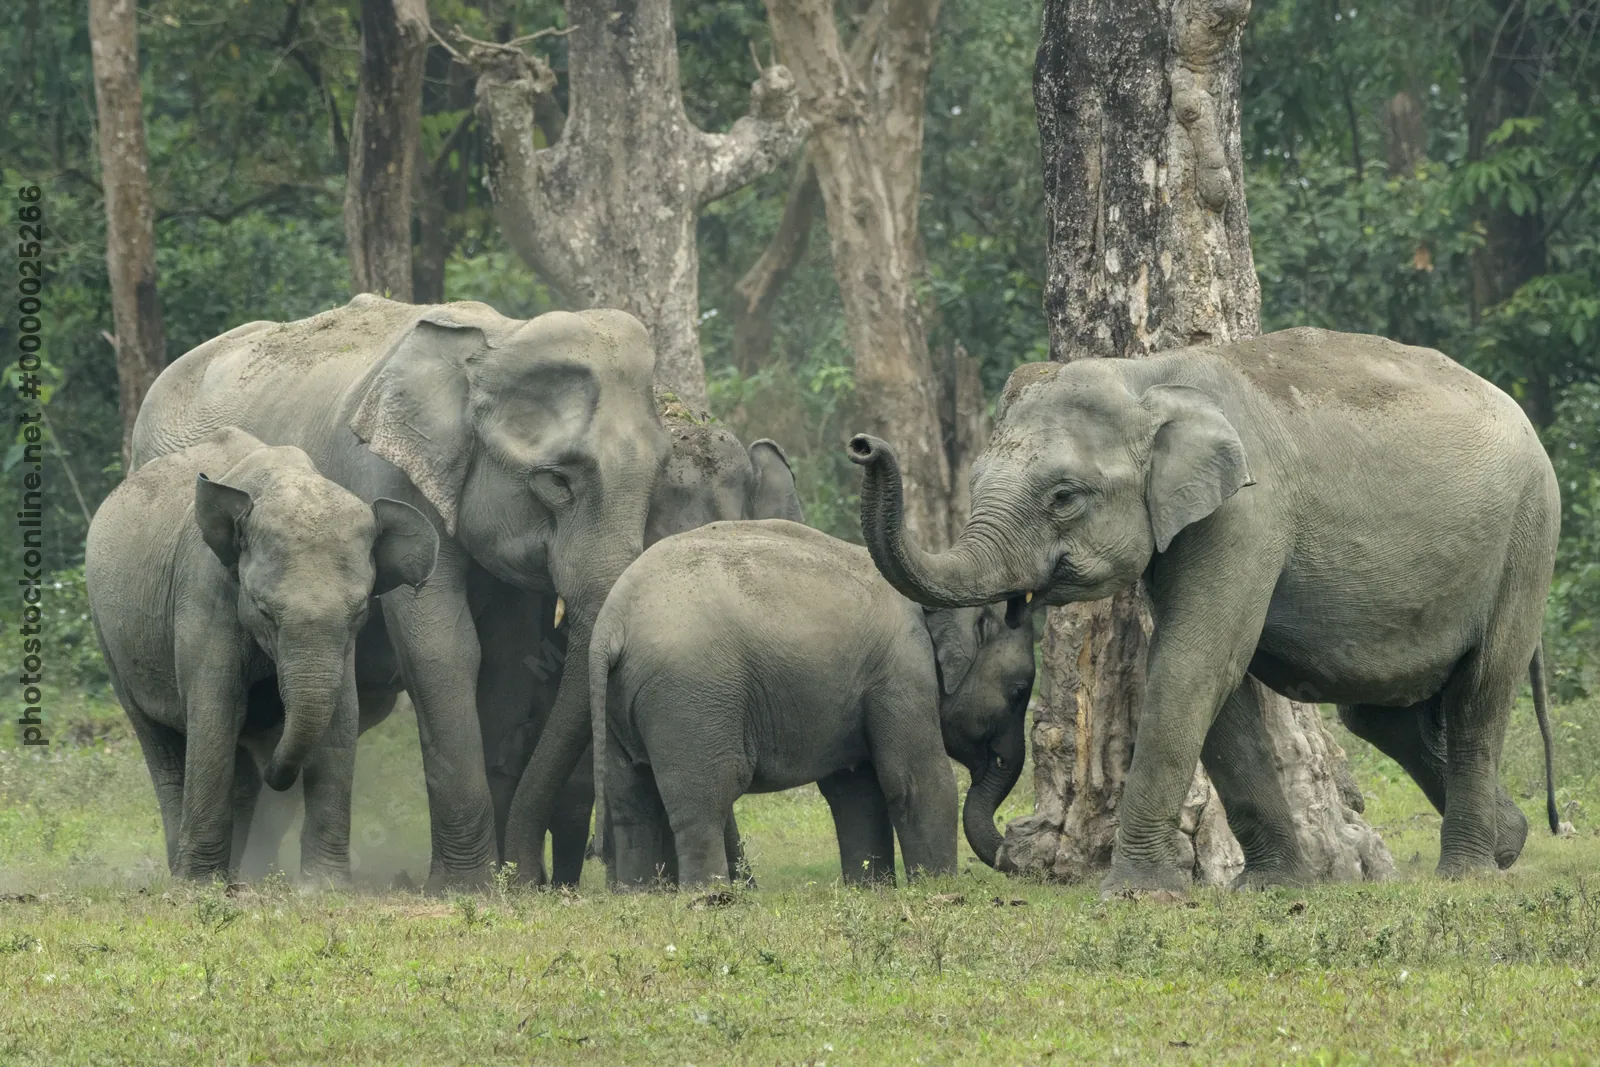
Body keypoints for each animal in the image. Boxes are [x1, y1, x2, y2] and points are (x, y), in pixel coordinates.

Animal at [85, 427, 438, 882]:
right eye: (264, 609)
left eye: (360, 611)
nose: (279, 776)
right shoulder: (205, 592)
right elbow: (215, 714)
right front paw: (198, 884)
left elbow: (341, 719)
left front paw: (324, 886)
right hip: (109, 637)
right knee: (162, 745)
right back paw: (187, 868)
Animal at [131, 294, 670, 889]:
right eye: (556, 481)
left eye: (662, 472)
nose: (531, 875)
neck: (496, 339)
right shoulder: (390, 478)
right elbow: (444, 650)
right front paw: (468, 886)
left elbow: (509, 666)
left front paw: (500, 884)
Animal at [587, 519, 1036, 888]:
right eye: (1019, 691)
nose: (1014, 842)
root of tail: (612, 623)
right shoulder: (902, 671)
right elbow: (917, 780)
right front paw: (938, 889)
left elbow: (855, 789)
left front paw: (872, 889)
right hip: (691, 696)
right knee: (704, 799)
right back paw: (711, 896)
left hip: (618, 703)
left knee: (631, 800)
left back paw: (640, 895)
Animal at [847, 327, 1560, 894]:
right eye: (974, 484)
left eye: (1064, 497)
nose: (862, 445)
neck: (1147, 373)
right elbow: (1218, 684)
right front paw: (1271, 888)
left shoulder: (1246, 512)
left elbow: (1193, 665)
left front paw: (1135, 891)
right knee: (1384, 713)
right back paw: (1510, 842)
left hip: (1527, 540)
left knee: (1478, 694)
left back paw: (1467, 873)